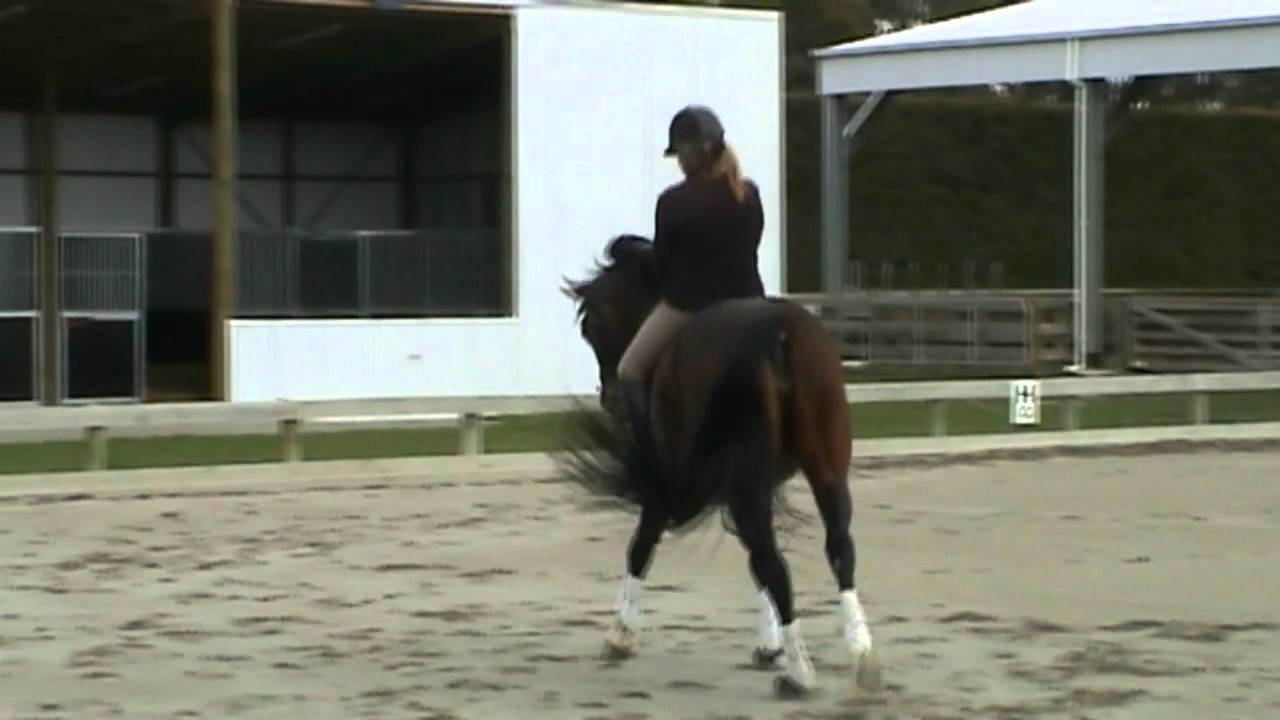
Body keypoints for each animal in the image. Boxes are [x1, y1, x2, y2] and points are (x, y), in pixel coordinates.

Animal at [557, 234, 882, 698]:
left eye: (592, 328)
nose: (610, 397)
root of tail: (779, 335)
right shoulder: (755, 484)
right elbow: (753, 563)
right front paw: (768, 645)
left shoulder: (668, 485)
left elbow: (641, 546)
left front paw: (619, 634)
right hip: (826, 471)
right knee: (836, 548)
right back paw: (861, 653)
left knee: (772, 562)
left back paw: (800, 674)